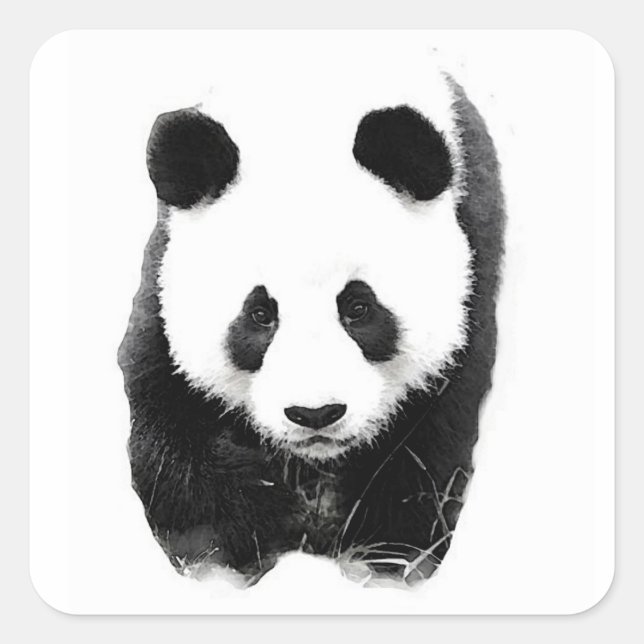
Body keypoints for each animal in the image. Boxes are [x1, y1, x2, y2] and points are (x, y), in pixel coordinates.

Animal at [118, 59, 505, 587]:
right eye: (260, 314)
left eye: (358, 308)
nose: (316, 414)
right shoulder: (162, 285)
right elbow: (170, 433)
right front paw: (253, 528)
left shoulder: (472, 272)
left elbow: (426, 446)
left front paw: (381, 559)